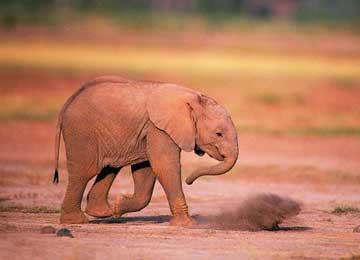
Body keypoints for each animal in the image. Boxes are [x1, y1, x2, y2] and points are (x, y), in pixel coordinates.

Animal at [54, 75, 239, 225]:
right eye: (219, 133)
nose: (189, 181)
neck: (192, 98)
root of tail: (69, 101)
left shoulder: (150, 129)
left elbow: (146, 170)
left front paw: (119, 206)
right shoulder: (158, 127)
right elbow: (164, 166)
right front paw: (188, 224)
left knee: (110, 167)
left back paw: (104, 212)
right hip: (81, 131)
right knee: (84, 172)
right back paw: (76, 221)